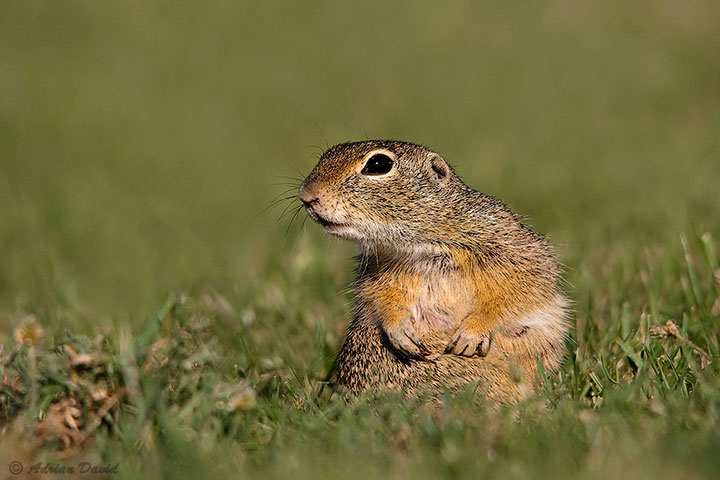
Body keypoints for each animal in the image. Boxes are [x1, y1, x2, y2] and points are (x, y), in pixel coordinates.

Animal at [298, 141, 568, 404]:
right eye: (325, 155)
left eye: (378, 165)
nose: (306, 195)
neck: (421, 245)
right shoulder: (376, 274)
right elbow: (378, 299)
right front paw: (399, 330)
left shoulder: (511, 250)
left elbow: (515, 291)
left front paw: (472, 333)